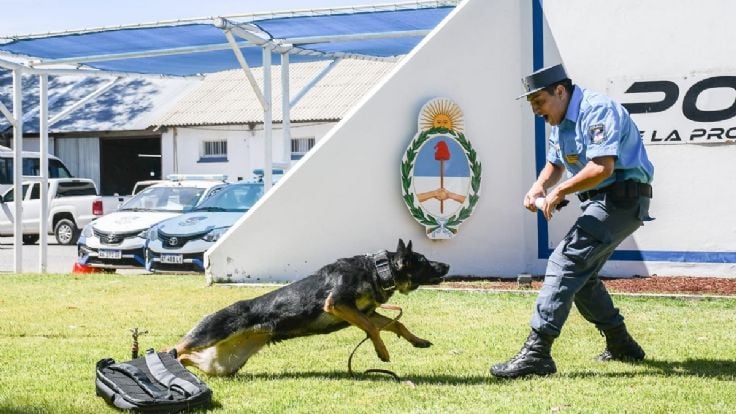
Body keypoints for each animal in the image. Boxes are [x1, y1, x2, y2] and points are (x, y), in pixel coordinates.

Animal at [172, 238, 448, 376]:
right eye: (424, 262)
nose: (446, 266)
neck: (377, 270)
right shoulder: (337, 304)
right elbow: (371, 328)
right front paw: (382, 352)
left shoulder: (363, 311)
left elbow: (395, 324)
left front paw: (417, 341)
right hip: (208, 336)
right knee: (174, 349)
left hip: (223, 365)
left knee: (185, 357)